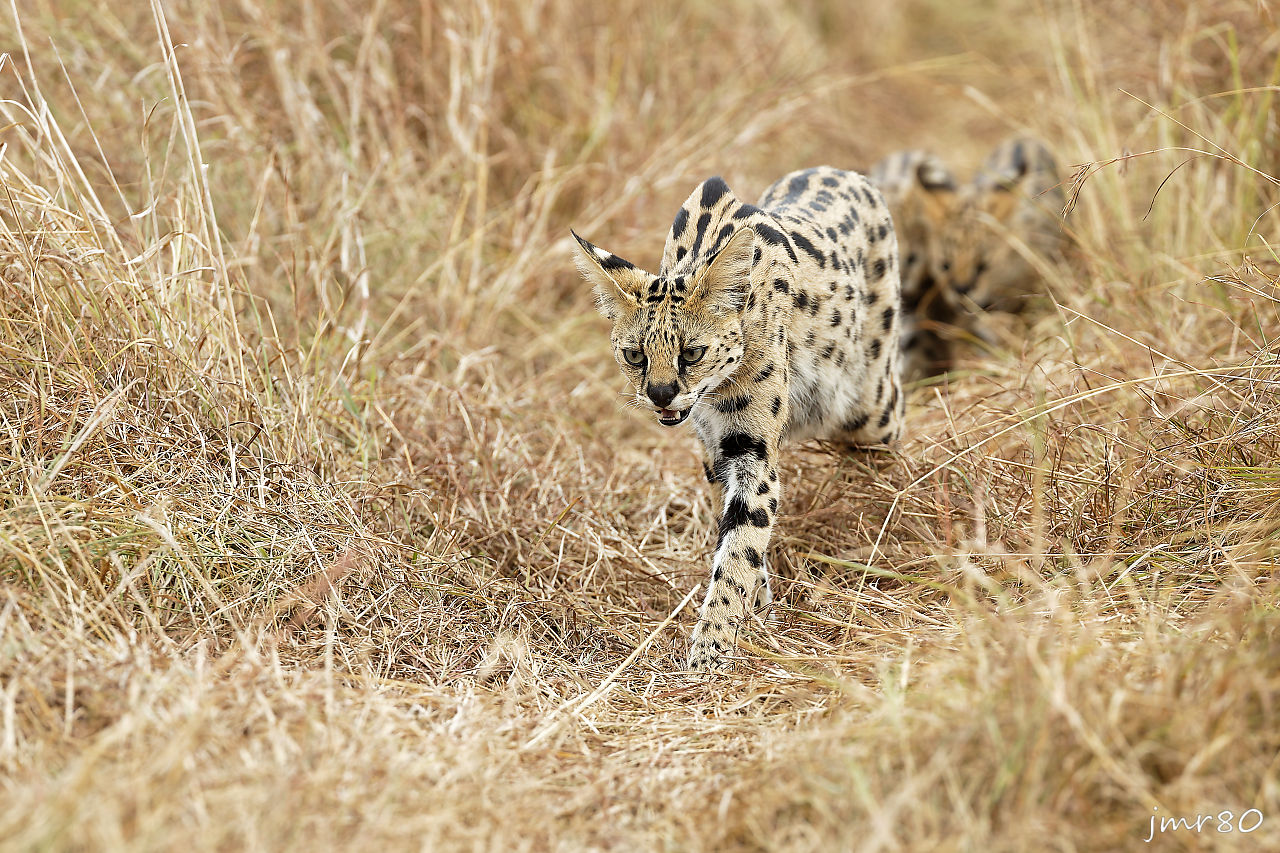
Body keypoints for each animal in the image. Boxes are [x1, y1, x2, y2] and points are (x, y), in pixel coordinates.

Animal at [573, 167, 904, 672]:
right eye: (634, 355)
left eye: (692, 353)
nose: (660, 394)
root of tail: (843, 172)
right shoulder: (716, 454)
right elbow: (737, 539)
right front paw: (757, 610)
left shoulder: (753, 450)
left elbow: (739, 548)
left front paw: (710, 647)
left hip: (867, 403)